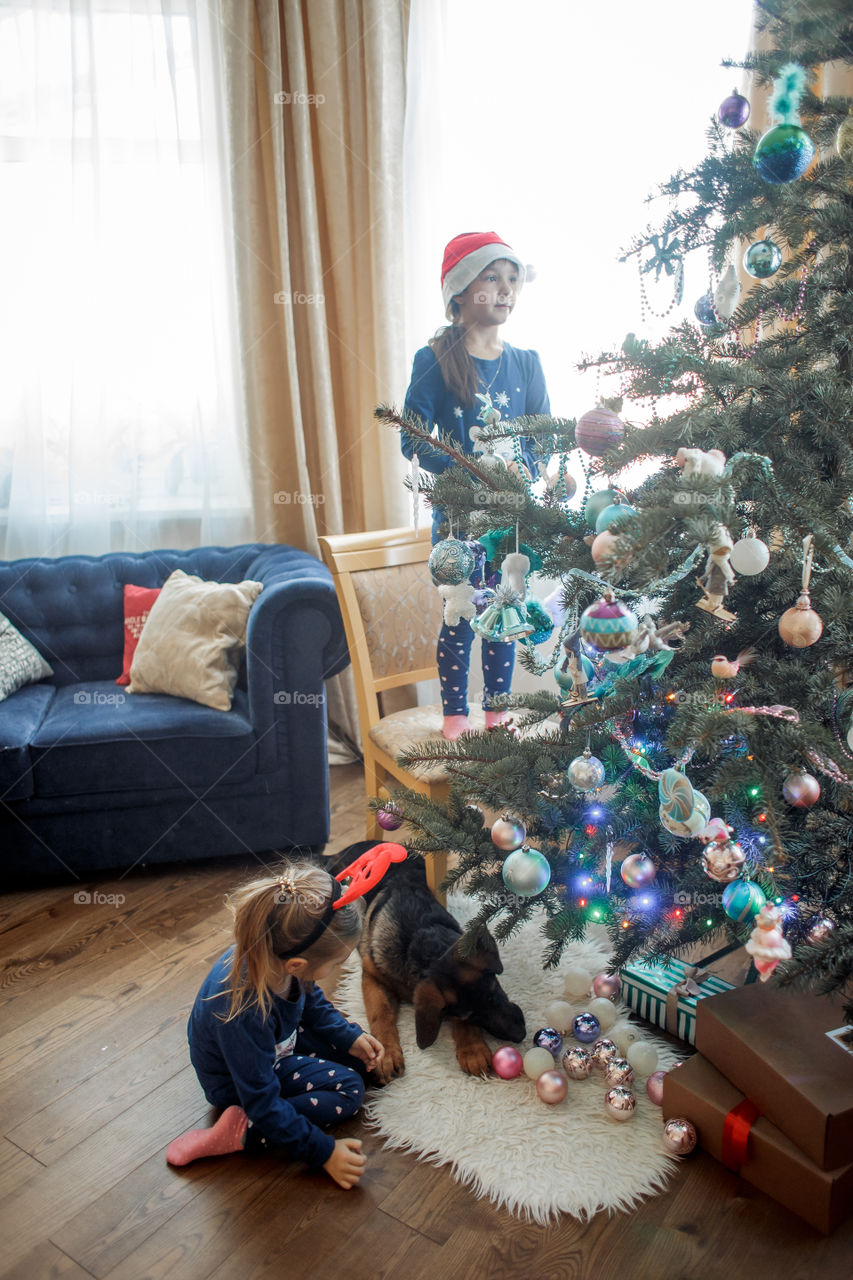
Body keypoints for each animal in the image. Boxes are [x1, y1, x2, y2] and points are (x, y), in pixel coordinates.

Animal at [327, 839, 522, 1080]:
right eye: (473, 1016)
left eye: (495, 992)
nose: (521, 1035)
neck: (420, 944)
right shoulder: (373, 975)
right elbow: (381, 1012)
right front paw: (386, 1053)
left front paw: (472, 1049)